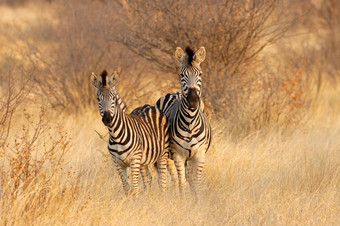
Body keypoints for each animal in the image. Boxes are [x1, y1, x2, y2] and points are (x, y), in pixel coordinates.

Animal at [157, 46, 212, 194]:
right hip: (167, 155)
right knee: (174, 180)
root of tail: (174, 92)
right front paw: (183, 199)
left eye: (200, 75)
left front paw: (196, 199)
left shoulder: (199, 154)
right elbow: (182, 183)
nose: (192, 100)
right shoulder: (178, 155)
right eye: (182, 75)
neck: (190, 122)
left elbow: (196, 184)